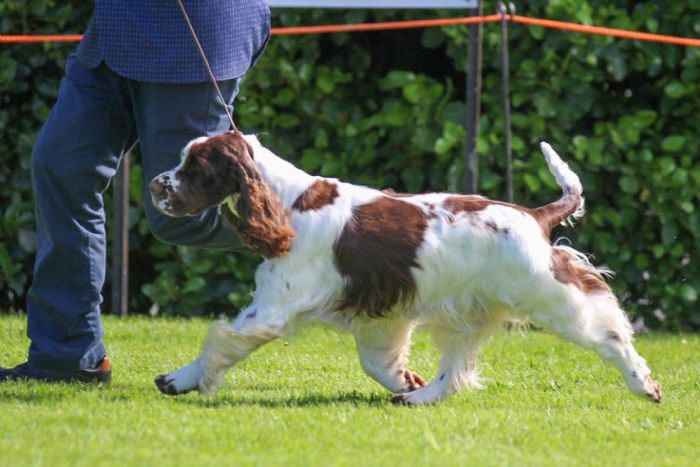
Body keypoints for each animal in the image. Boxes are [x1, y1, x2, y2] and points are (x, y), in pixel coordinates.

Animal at [148, 133, 660, 406]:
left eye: (194, 167)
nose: (154, 184)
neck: (287, 202)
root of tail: (535, 217)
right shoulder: (382, 314)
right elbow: (379, 360)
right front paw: (404, 381)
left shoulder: (272, 306)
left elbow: (220, 341)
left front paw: (178, 380)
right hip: (467, 312)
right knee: (454, 371)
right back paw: (417, 397)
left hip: (551, 296)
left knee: (612, 337)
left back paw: (644, 385)